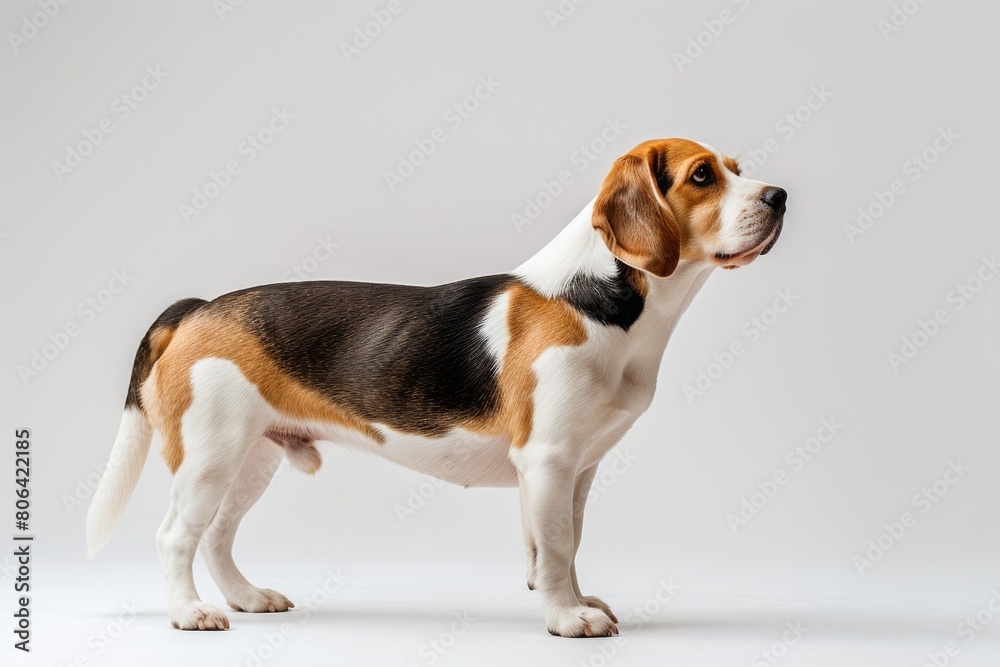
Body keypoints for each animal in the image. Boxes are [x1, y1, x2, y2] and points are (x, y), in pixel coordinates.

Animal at [86, 138, 784, 640]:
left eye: (736, 169)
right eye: (703, 176)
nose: (779, 195)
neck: (600, 301)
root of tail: (198, 308)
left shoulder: (575, 470)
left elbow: (565, 544)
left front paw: (574, 599)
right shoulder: (549, 461)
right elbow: (558, 546)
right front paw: (567, 618)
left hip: (251, 459)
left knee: (216, 536)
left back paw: (245, 598)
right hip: (210, 455)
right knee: (175, 536)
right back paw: (189, 614)